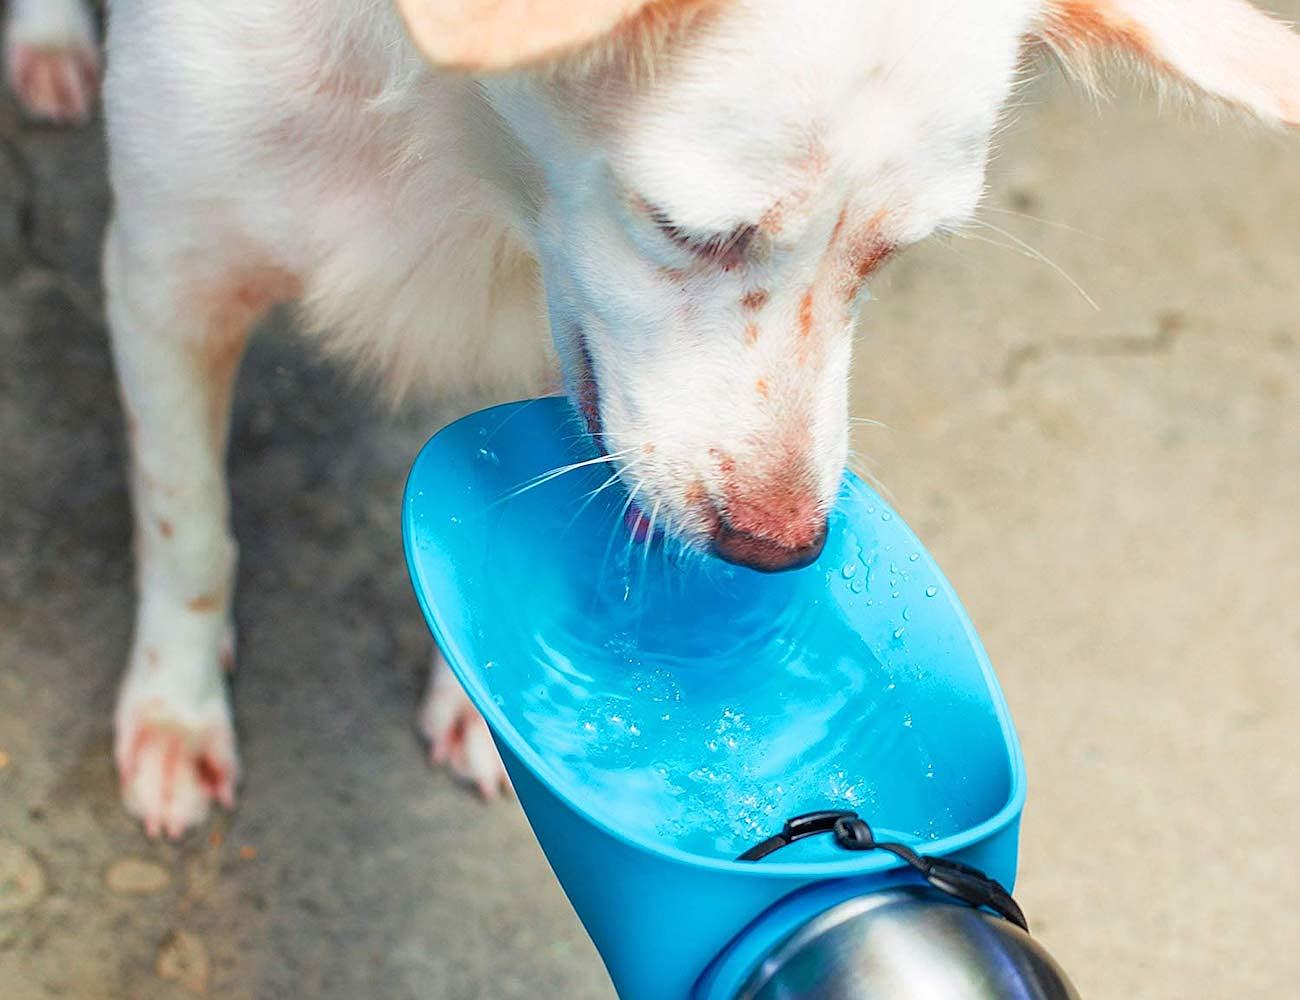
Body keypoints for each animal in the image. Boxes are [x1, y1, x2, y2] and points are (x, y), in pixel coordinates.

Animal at [10, 3, 1289, 837]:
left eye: (894, 255)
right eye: (690, 231)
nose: (778, 549)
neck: (459, 144)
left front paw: (487, 698)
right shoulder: (165, 274)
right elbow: (188, 527)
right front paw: (177, 705)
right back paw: (49, 40)